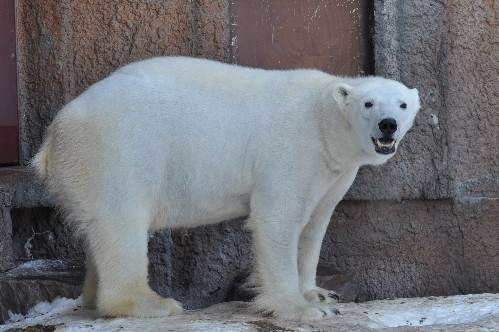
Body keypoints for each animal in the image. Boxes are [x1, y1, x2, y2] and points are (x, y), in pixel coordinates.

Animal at [32, 55, 422, 320]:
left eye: (403, 104)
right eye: (368, 103)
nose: (388, 124)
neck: (325, 123)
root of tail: (54, 136)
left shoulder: (333, 172)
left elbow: (314, 227)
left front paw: (320, 294)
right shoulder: (291, 148)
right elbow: (277, 219)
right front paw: (301, 308)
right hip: (116, 150)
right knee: (121, 221)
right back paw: (151, 303)